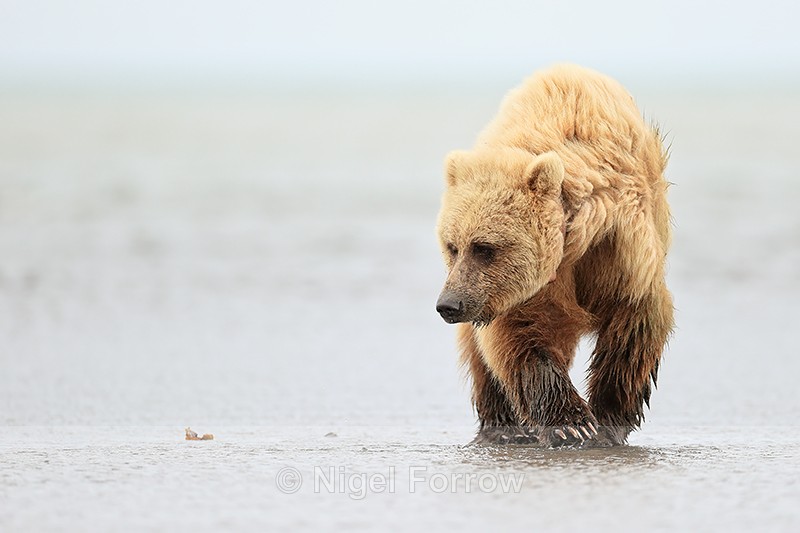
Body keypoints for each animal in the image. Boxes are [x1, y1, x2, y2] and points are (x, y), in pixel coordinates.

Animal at [435, 64, 674, 447]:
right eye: (452, 246)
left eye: (484, 247)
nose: (448, 304)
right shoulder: (527, 287)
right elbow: (523, 335)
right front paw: (572, 423)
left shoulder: (620, 248)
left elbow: (634, 319)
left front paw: (608, 419)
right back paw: (501, 425)